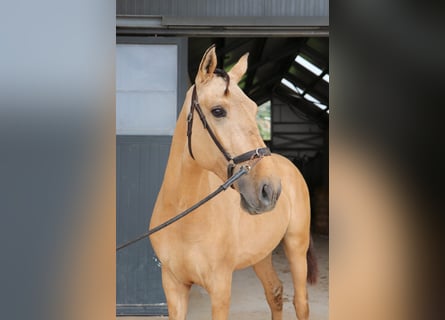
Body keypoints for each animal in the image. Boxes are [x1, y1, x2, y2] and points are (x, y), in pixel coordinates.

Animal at [149, 45, 316, 320]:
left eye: (254, 108)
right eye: (218, 111)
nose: (270, 190)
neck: (184, 215)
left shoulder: (220, 288)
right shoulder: (173, 286)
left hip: (296, 246)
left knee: (300, 302)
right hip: (261, 254)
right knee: (275, 292)